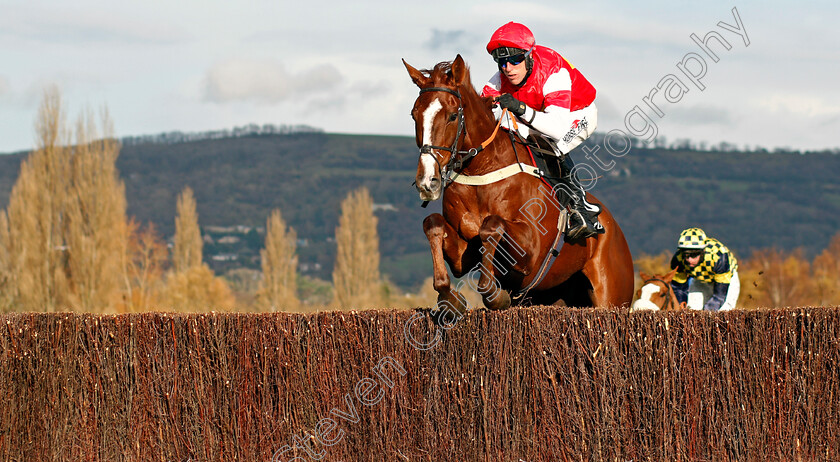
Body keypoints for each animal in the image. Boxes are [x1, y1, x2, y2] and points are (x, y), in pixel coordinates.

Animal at [404, 55, 632, 314]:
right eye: (414, 115)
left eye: (453, 116)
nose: (427, 181)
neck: (481, 171)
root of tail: (615, 228)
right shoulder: (464, 254)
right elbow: (432, 223)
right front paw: (449, 298)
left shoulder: (530, 252)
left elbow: (492, 225)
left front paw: (494, 294)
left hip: (612, 295)